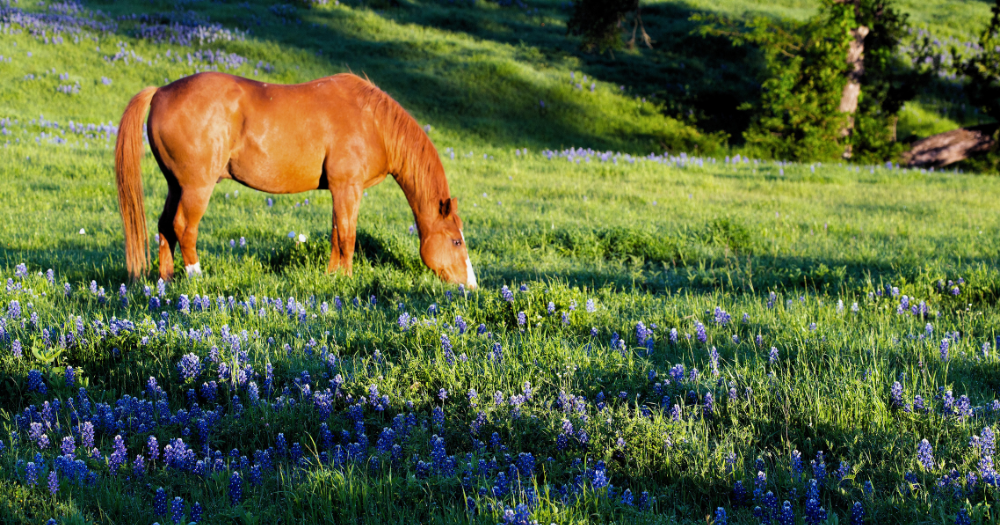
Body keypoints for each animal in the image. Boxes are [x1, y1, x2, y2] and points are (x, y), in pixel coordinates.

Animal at [113, 71, 480, 286]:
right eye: (456, 241)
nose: (471, 285)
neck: (372, 121)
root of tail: (161, 91)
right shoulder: (348, 187)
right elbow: (348, 236)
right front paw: (346, 280)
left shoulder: (340, 190)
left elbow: (336, 235)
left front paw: (332, 277)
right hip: (196, 188)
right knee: (183, 228)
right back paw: (196, 277)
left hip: (175, 185)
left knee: (164, 228)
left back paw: (166, 281)